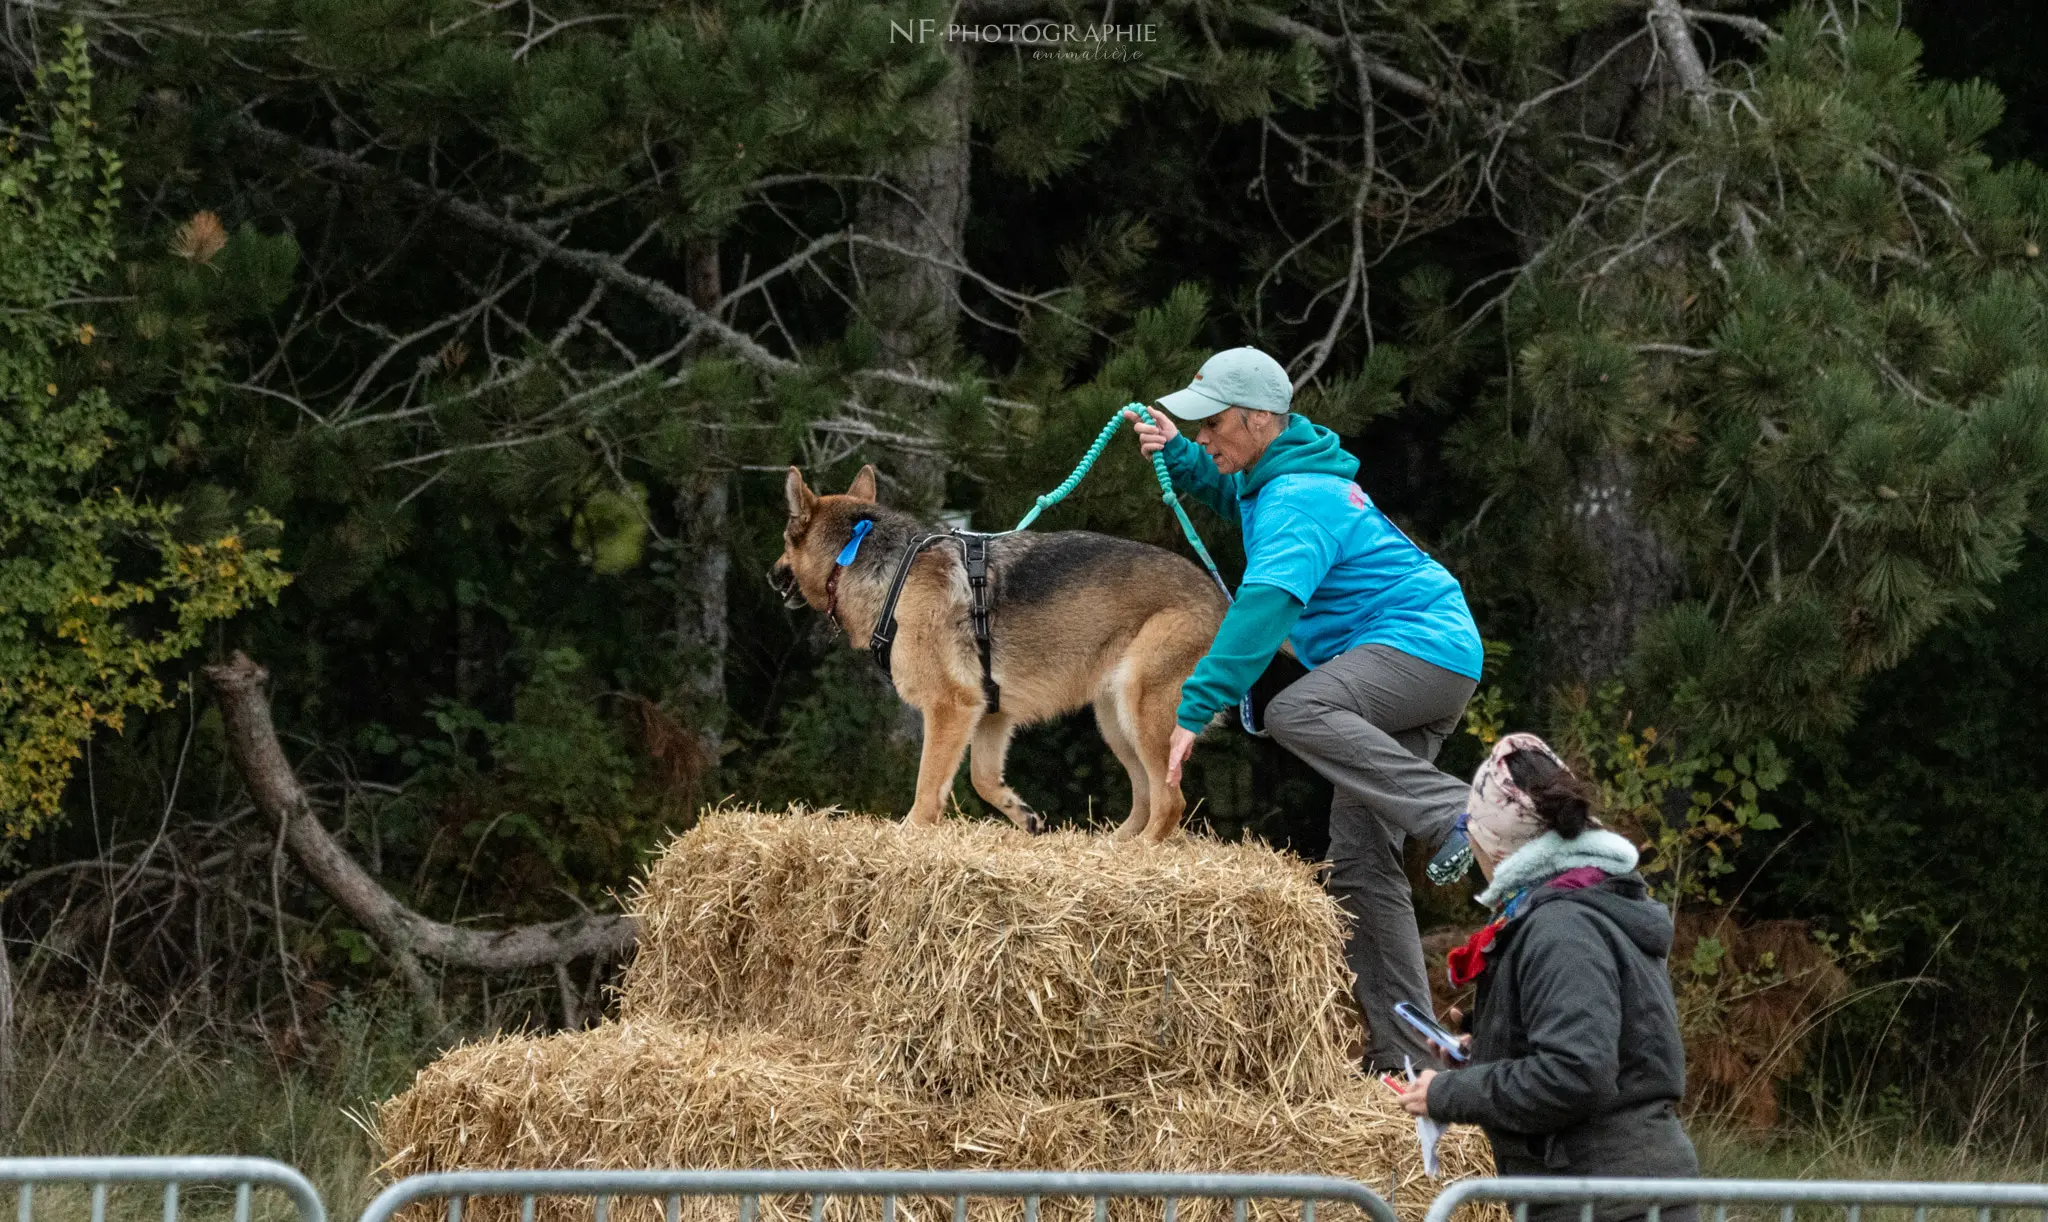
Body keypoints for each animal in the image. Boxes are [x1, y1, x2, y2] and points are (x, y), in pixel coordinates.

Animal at [770, 464, 1220, 839]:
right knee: (1145, 797)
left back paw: (1139, 850)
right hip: (1115, 722)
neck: (885, 570)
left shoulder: (950, 708)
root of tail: (1223, 601)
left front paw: (908, 834)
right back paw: (1112, 848)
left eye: (785, 541)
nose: (771, 575)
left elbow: (928, 787)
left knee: (1170, 801)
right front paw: (1023, 814)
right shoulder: (992, 714)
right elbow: (983, 781)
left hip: (1139, 711)